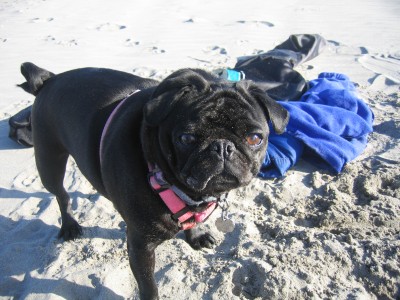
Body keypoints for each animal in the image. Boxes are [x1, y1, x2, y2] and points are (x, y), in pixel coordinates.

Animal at [18, 62, 290, 298]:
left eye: (255, 138)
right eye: (186, 138)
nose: (222, 147)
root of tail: (49, 79)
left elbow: (193, 223)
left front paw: (196, 235)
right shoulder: (140, 247)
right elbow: (149, 286)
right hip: (49, 160)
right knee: (61, 195)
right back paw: (70, 225)